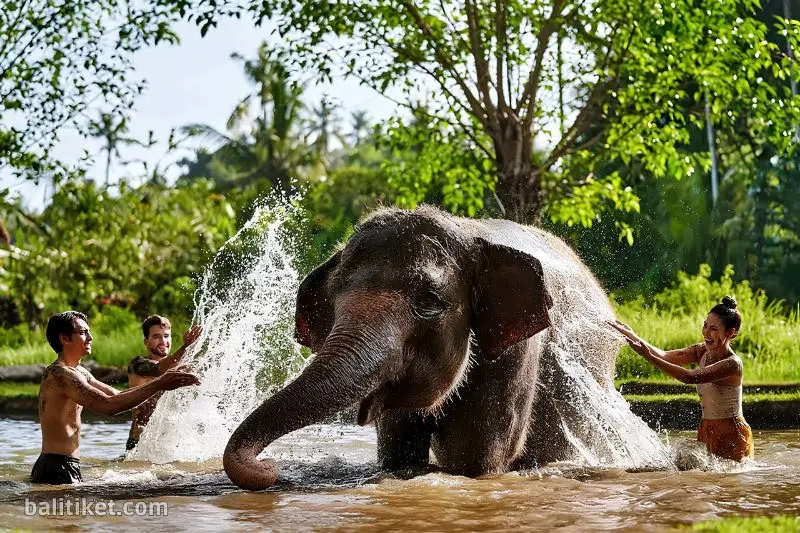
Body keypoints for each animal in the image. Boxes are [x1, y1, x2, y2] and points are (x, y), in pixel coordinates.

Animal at [223, 205, 622, 490]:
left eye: (429, 301)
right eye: (333, 297)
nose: (270, 467)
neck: (469, 230)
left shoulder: (517, 354)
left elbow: (473, 460)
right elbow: (399, 453)